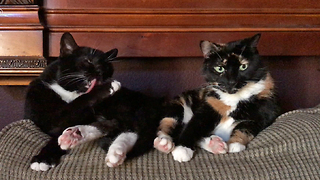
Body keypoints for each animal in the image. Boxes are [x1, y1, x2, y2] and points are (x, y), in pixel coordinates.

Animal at [25, 32, 164, 172]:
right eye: (88, 60)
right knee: (114, 125)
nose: (101, 72)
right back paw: (76, 136)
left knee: (129, 127)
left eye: (107, 66)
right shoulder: (51, 117)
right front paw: (42, 159)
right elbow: (76, 105)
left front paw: (43, 158)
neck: (70, 91)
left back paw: (115, 151)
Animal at [152, 33, 280, 162]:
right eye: (220, 68)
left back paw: (216, 145)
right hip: (178, 105)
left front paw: (235, 144)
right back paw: (164, 143)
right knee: (166, 124)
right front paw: (182, 149)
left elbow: (246, 127)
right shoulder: (208, 107)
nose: (231, 82)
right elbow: (192, 127)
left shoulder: (264, 113)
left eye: (243, 66)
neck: (234, 99)